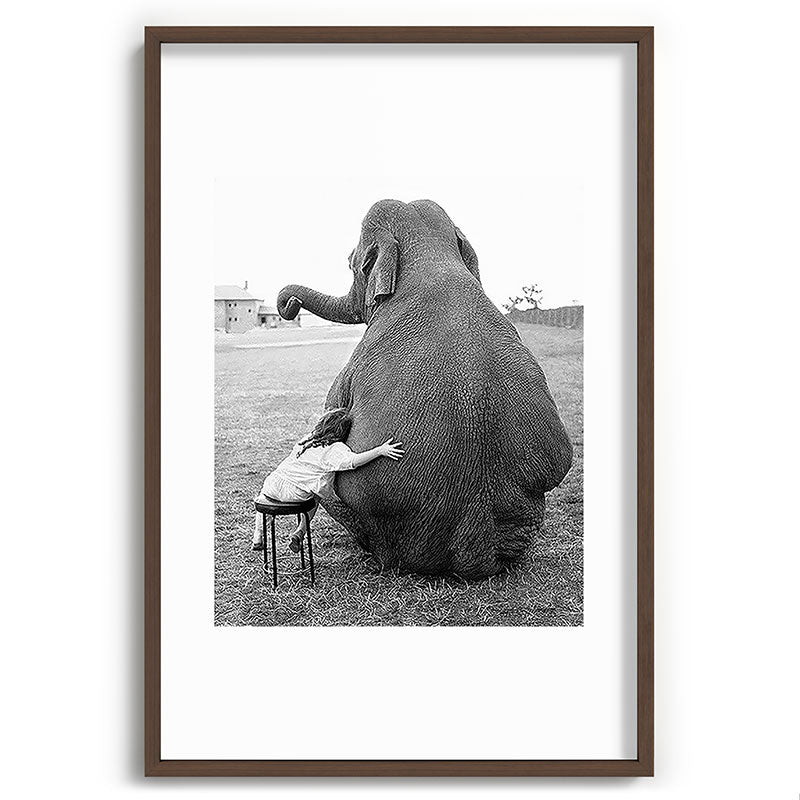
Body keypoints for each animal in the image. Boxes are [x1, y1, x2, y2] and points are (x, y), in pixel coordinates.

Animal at [277, 199, 572, 578]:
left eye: (351, 261)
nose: (289, 305)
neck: (430, 257)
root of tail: (476, 552)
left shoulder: (353, 364)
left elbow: (332, 414)